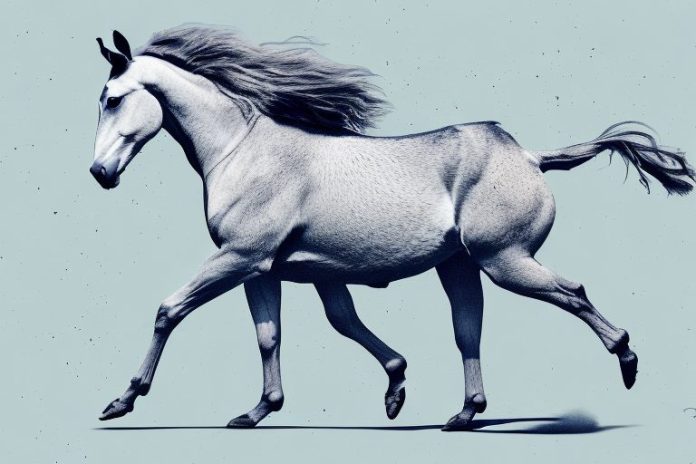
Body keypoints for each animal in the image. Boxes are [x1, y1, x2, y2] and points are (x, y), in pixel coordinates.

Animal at [91, 27, 695, 431]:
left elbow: (170, 309)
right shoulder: (278, 270)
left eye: (113, 99)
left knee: (572, 292)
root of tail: (529, 156)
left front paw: (123, 400)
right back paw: (464, 415)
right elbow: (289, 332)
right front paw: (266, 409)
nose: (99, 174)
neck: (243, 151)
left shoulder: (241, 259)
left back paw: (627, 361)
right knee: (468, 331)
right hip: (461, 267)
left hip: (505, 261)